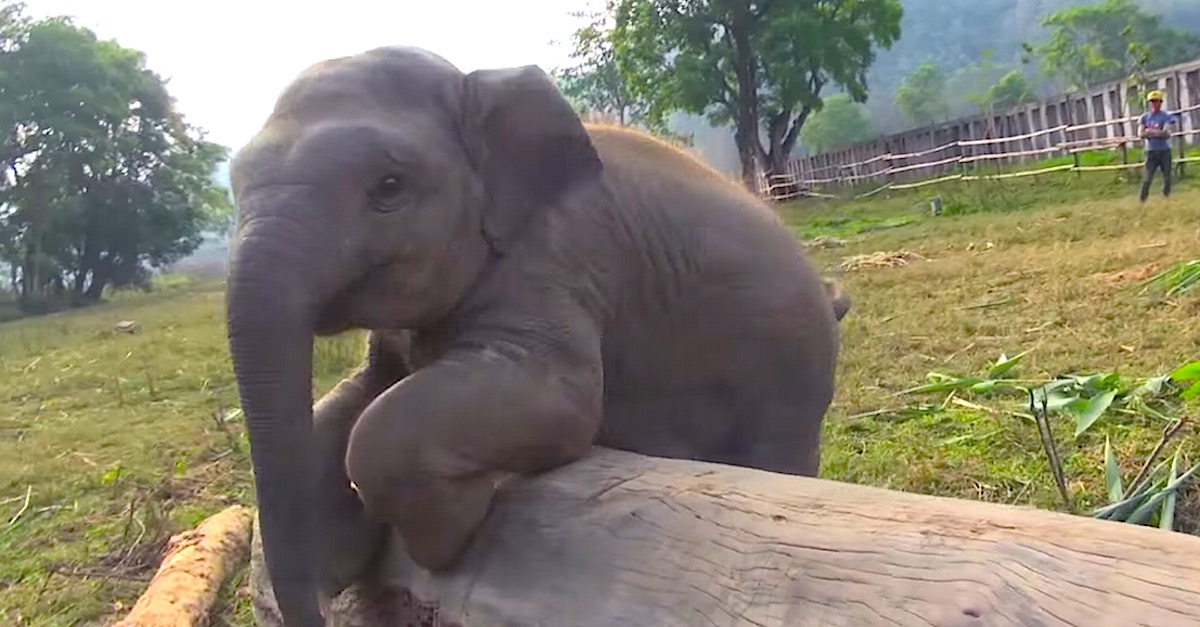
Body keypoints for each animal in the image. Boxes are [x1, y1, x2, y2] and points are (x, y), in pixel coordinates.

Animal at [225, 45, 849, 627]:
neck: (476, 87)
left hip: (791, 374)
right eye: (234, 184)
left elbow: (560, 402)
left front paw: (450, 532)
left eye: (389, 186)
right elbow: (342, 408)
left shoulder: (556, 258)